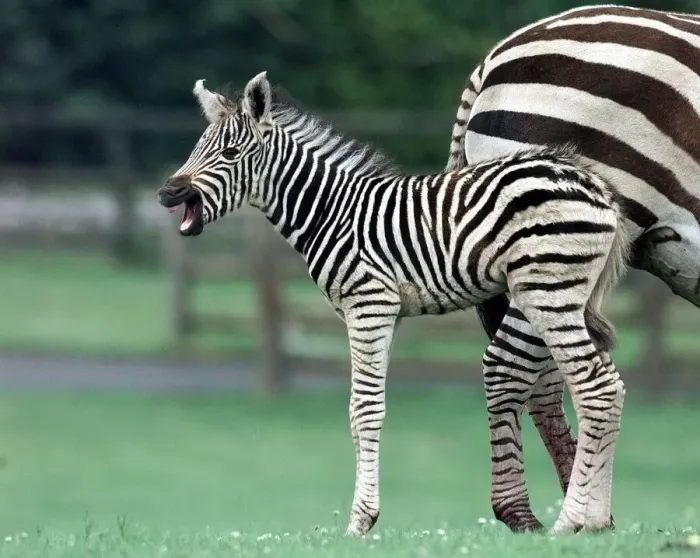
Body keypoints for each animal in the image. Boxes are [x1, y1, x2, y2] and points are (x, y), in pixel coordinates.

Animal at [157, 71, 631, 535]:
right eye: (196, 148)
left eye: (230, 153)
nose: (166, 193)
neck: (331, 212)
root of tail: (595, 184)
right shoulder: (384, 313)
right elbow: (360, 409)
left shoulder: (368, 305)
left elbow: (365, 409)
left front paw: (359, 522)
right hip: (569, 293)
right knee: (611, 385)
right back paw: (595, 522)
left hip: (548, 289)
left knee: (595, 387)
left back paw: (569, 523)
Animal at [445, 4, 700, 532]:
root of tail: (495, 56)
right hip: (549, 238)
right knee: (511, 367)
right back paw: (533, 515)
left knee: (549, 378)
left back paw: (586, 514)